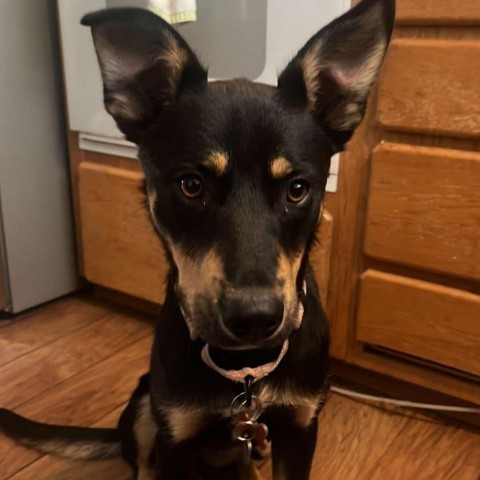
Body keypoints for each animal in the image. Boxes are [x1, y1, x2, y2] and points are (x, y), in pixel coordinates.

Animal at [0, 1, 394, 478]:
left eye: (298, 189)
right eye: (191, 185)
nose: (254, 319)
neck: (245, 375)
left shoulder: (300, 428)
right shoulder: (177, 433)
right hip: (143, 404)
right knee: (143, 461)